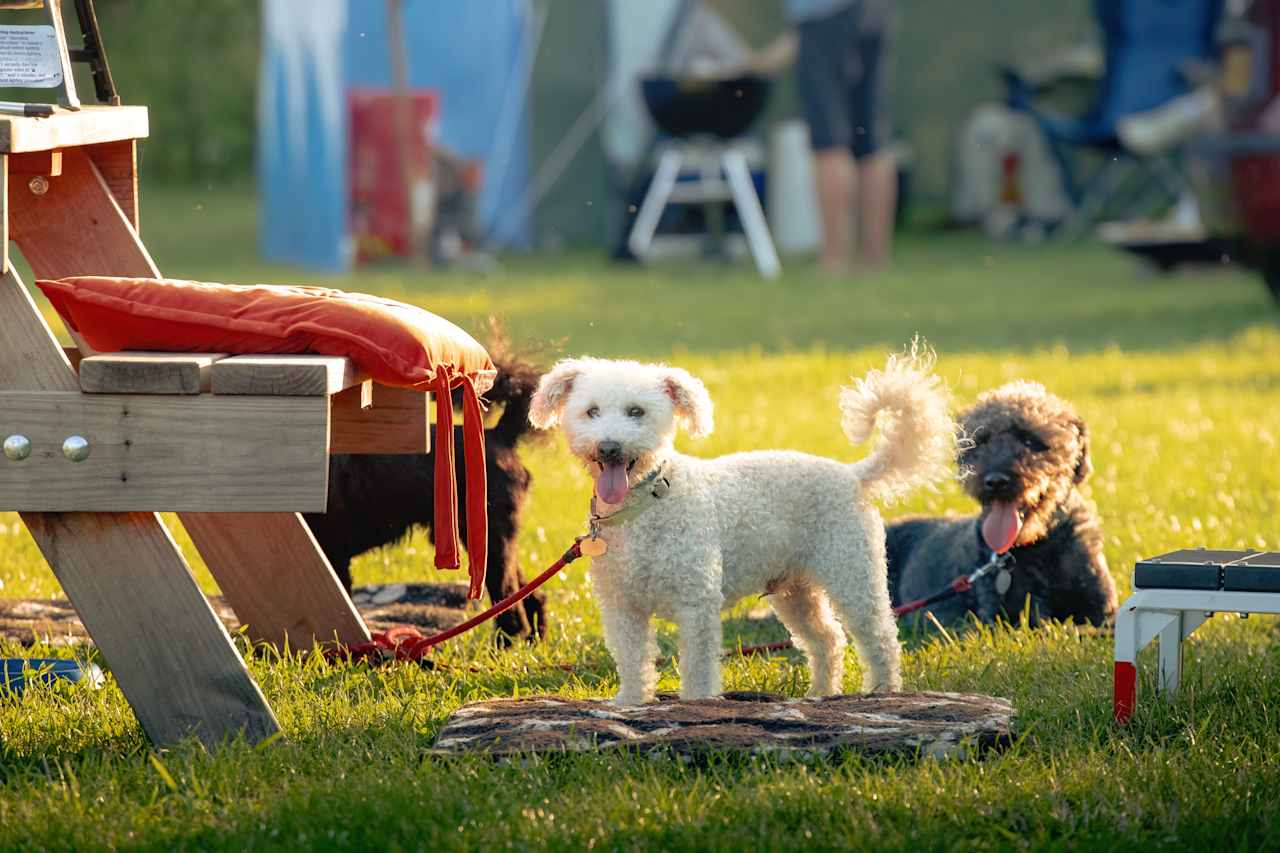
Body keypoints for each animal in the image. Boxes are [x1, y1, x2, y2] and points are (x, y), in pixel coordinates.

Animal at [308, 335, 550, 640]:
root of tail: (501, 436)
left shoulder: (334, 552)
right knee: (528, 593)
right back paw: (532, 640)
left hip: (489, 537)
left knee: (510, 603)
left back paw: (508, 642)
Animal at [524, 348, 957, 701]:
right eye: (591, 411)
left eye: (636, 412)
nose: (609, 447)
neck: (648, 504)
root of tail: (853, 475)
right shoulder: (622, 606)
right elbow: (633, 662)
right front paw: (631, 702)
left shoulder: (696, 601)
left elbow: (698, 665)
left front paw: (697, 703)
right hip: (796, 590)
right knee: (827, 640)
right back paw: (821, 693)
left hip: (852, 570)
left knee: (880, 636)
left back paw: (883, 690)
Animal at [885, 379, 1116, 625]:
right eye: (979, 442)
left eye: (1031, 440)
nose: (995, 481)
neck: (1037, 548)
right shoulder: (1005, 618)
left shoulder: (1104, 610)